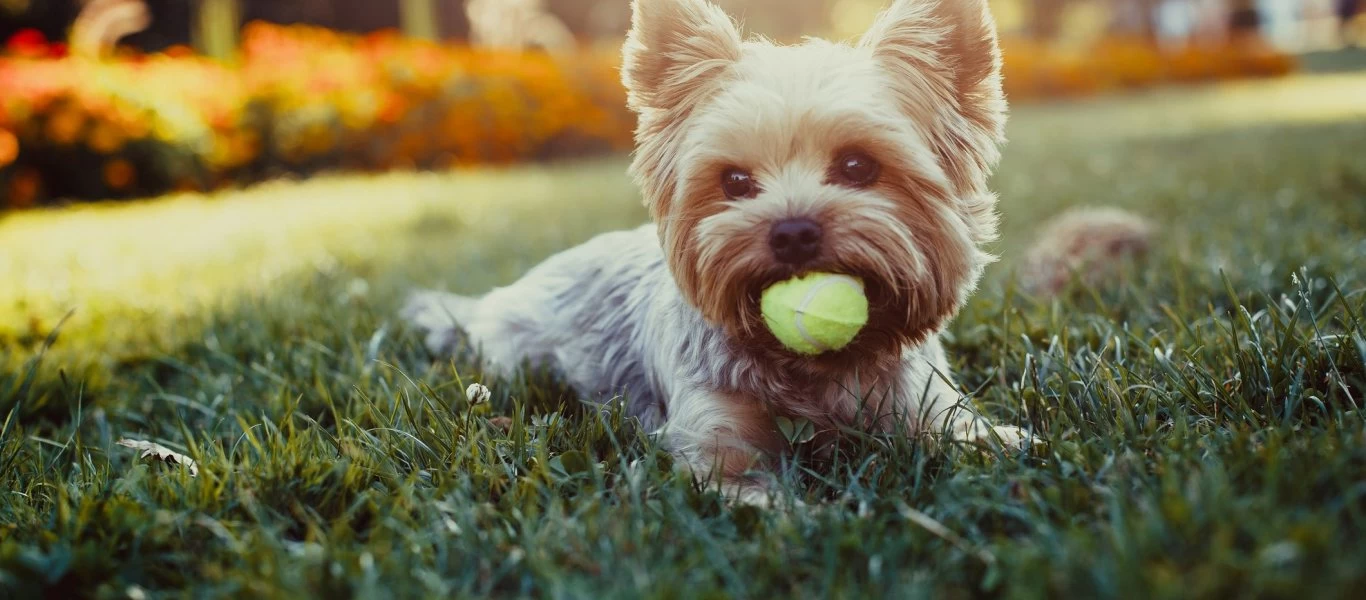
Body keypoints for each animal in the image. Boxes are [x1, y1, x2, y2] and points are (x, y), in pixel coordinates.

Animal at [401, 0, 1027, 505]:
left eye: (857, 166)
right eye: (735, 181)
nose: (792, 231)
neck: (816, 370)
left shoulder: (924, 404)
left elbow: (981, 438)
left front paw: (1007, 441)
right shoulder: (715, 440)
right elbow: (748, 490)